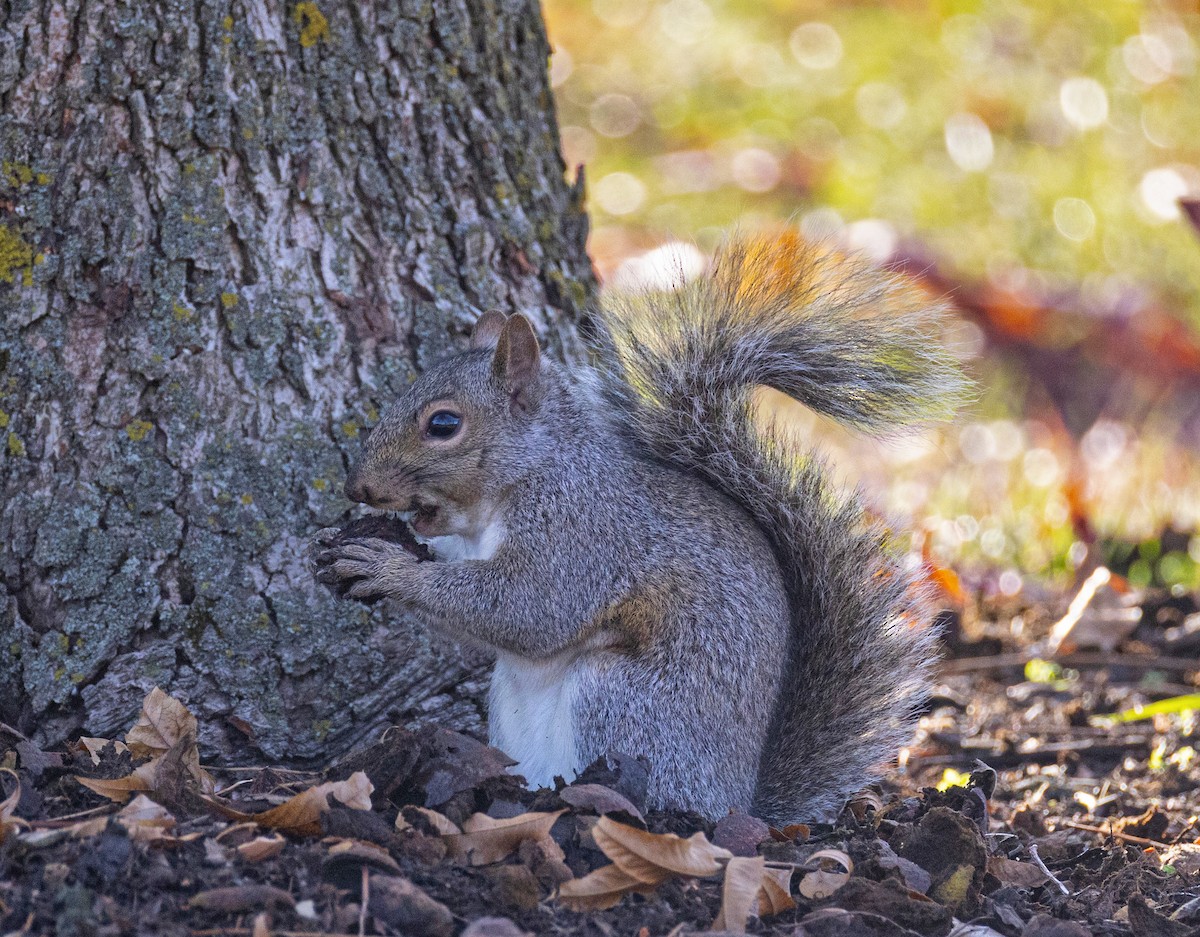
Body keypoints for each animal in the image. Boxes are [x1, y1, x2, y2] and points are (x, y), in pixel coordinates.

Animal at [317, 230, 967, 824]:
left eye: (444, 424)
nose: (357, 488)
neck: (523, 478)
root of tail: (739, 804)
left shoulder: (580, 531)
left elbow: (529, 609)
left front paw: (389, 568)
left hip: (620, 700)